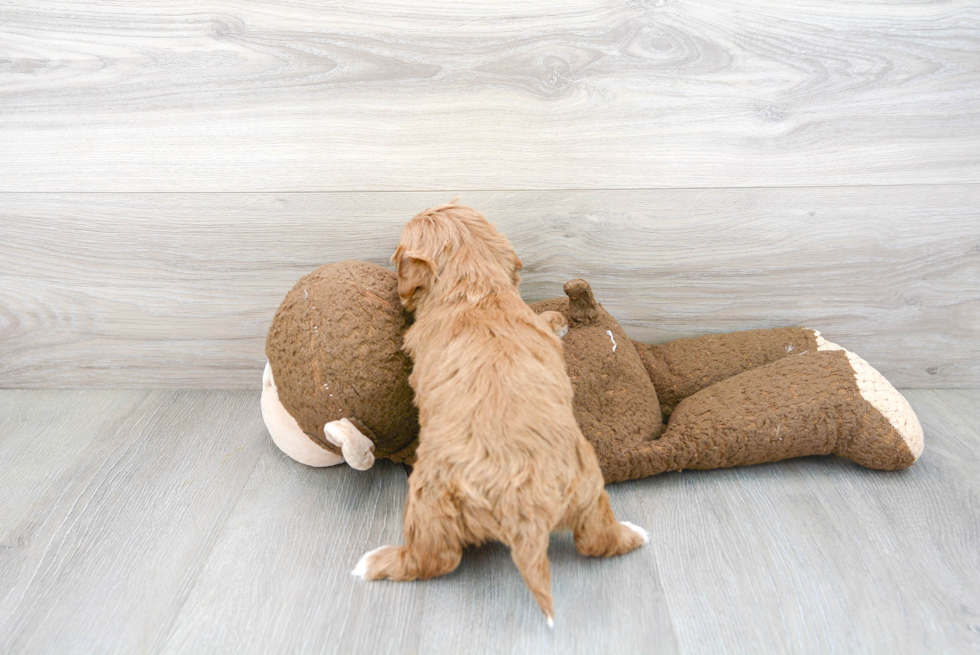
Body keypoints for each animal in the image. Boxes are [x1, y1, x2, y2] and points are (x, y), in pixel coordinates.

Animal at [356, 202, 648, 628]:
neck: (475, 291)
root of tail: (522, 506)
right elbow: (544, 323)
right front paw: (557, 321)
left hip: (428, 498)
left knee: (434, 560)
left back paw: (375, 562)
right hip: (588, 485)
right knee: (596, 540)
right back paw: (633, 533)